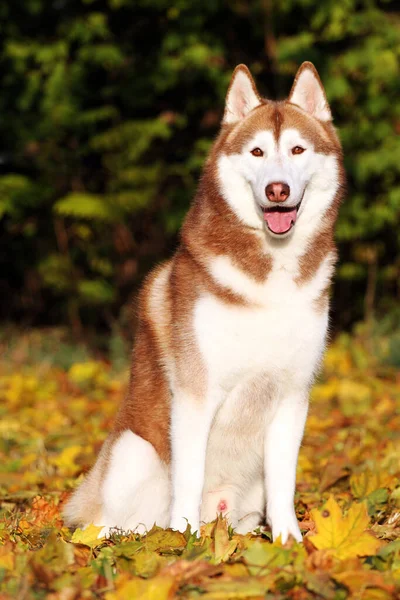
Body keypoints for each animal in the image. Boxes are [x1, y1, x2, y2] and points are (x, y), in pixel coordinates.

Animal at [65, 62, 344, 544]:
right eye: (256, 152)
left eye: (297, 149)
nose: (277, 189)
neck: (270, 271)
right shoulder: (196, 396)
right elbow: (189, 478)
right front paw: (184, 541)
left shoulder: (293, 395)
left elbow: (284, 482)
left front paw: (289, 543)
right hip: (132, 453)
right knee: (112, 525)